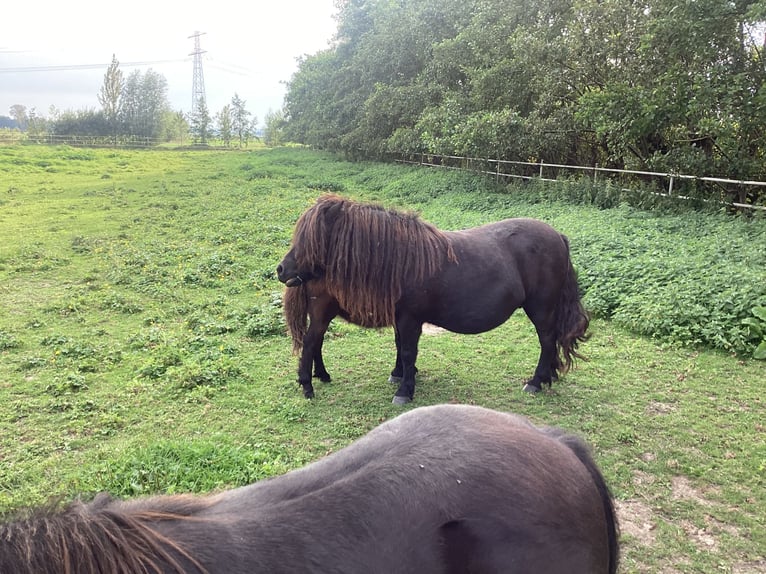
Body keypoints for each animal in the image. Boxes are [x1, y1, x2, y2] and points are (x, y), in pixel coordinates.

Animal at [280, 196, 592, 408]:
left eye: (311, 240)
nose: (281, 270)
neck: (400, 258)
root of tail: (558, 237)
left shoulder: (410, 318)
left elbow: (408, 351)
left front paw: (404, 391)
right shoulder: (400, 317)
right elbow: (401, 348)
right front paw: (400, 376)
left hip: (541, 309)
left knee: (547, 341)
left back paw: (536, 382)